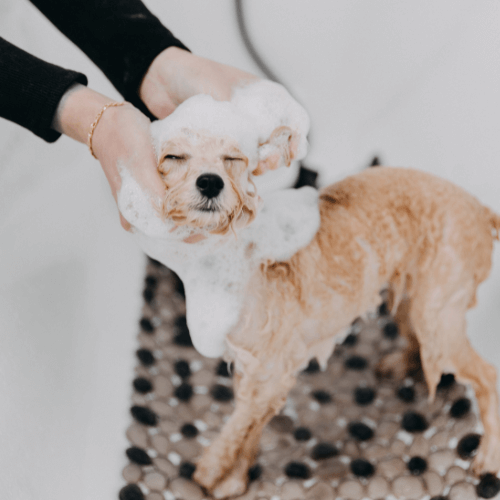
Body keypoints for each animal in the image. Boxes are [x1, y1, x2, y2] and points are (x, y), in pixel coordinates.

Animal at [116, 84, 500, 498]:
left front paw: (209, 473)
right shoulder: (256, 372)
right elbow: (249, 429)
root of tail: (482, 210)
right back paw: (400, 364)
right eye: (173, 156)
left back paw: (489, 457)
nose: (210, 181)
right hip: (412, 299)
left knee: (488, 376)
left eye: (233, 158)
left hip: (436, 312)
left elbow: (236, 428)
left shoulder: (269, 372)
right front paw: (236, 477)